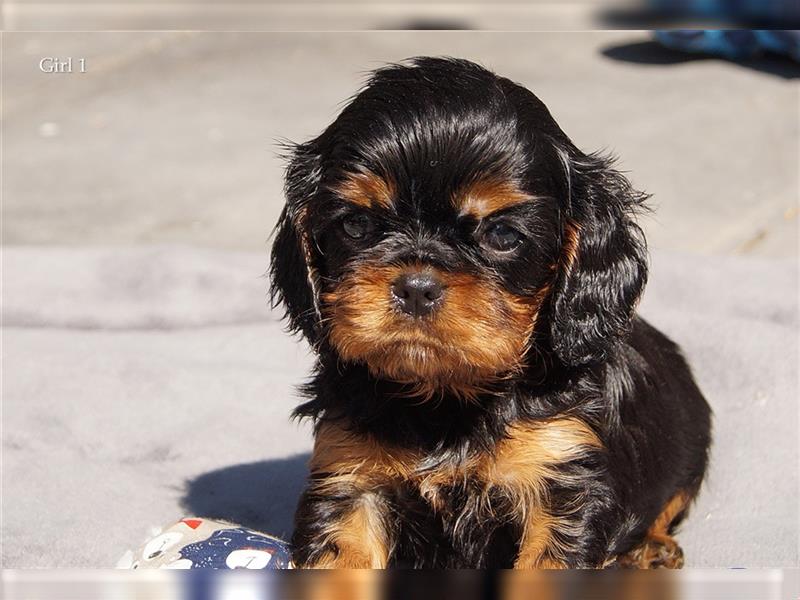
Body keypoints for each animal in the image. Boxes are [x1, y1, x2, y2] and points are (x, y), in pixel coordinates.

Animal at [270, 56, 712, 568]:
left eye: (501, 235)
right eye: (357, 225)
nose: (416, 287)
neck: (445, 397)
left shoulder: (561, 471)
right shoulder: (350, 474)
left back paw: (651, 549)